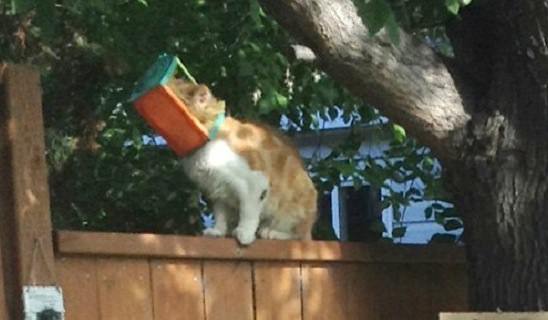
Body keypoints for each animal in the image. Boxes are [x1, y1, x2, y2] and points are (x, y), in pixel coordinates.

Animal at [169, 80, 318, 245]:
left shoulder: (255, 182)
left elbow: (248, 211)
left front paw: (244, 233)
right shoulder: (218, 190)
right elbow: (220, 215)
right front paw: (218, 231)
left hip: (294, 205)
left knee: (299, 237)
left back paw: (271, 232)